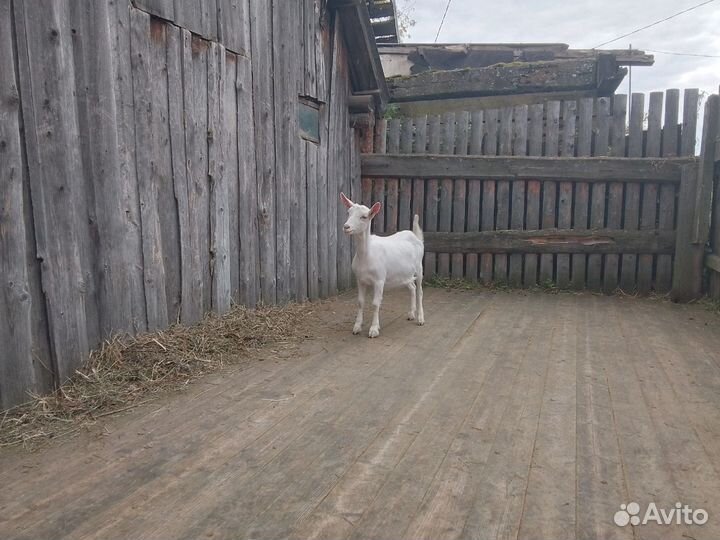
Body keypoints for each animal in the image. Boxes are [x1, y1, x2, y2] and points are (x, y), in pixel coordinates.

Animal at [340, 192, 425, 338]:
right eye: (348, 212)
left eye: (364, 217)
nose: (346, 227)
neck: (367, 256)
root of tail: (416, 236)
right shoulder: (360, 279)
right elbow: (360, 302)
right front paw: (357, 327)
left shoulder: (379, 279)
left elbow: (375, 303)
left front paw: (374, 329)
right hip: (404, 274)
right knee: (412, 288)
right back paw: (411, 314)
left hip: (419, 267)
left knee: (420, 290)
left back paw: (420, 318)